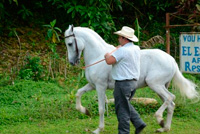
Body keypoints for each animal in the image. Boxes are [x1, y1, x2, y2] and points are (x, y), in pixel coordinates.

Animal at [65, 24, 199, 133]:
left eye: (70, 43)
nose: (72, 62)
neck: (99, 56)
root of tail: (172, 60)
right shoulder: (92, 85)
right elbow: (78, 93)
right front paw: (85, 111)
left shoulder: (100, 86)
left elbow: (101, 108)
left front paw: (98, 129)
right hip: (161, 87)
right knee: (170, 104)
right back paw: (164, 128)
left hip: (155, 85)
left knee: (170, 98)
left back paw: (159, 119)